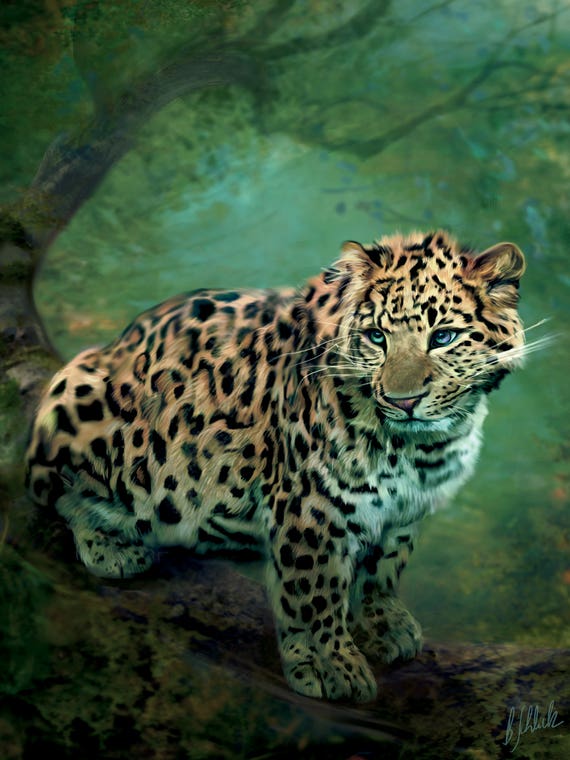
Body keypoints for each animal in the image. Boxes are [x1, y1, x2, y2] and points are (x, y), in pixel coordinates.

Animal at [25, 230, 527, 702]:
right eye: (377, 337)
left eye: (443, 337)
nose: (402, 401)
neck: (422, 450)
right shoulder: (313, 508)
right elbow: (314, 593)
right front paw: (330, 666)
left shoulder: (404, 512)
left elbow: (385, 566)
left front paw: (385, 622)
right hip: (77, 394)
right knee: (60, 494)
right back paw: (111, 545)